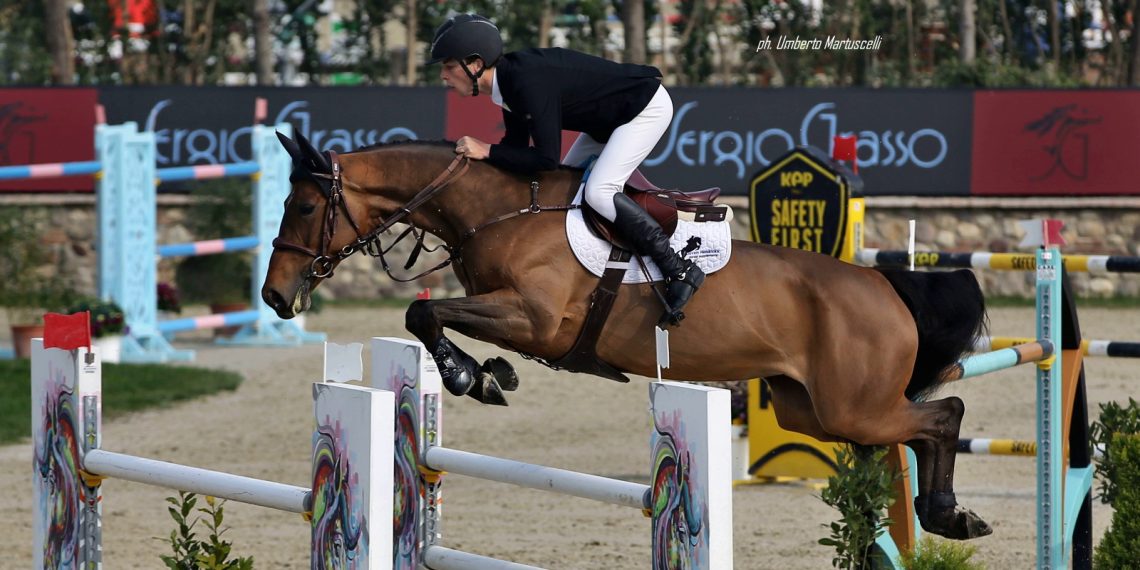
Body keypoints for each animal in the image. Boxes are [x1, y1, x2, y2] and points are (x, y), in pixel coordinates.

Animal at [262, 133, 991, 541]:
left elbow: (425, 315)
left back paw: (949, 514)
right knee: (923, 424)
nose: (274, 295)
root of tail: (883, 287)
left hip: (853, 407)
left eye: (303, 206)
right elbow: (426, 316)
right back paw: (946, 516)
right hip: (807, 409)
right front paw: (490, 374)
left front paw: (476, 377)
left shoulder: (534, 319)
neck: (497, 210)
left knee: (945, 414)